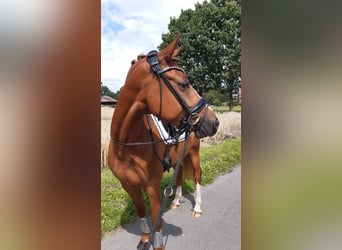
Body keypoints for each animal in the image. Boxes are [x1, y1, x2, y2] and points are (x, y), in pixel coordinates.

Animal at [107, 35, 219, 250]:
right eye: (184, 84)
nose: (214, 122)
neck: (126, 147)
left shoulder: (151, 186)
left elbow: (156, 221)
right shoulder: (129, 186)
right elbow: (142, 214)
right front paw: (144, 239)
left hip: (194, 154)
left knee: (198, 176)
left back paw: (197, 208)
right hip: (179, 158)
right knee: (179, 175)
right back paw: (175, 201)